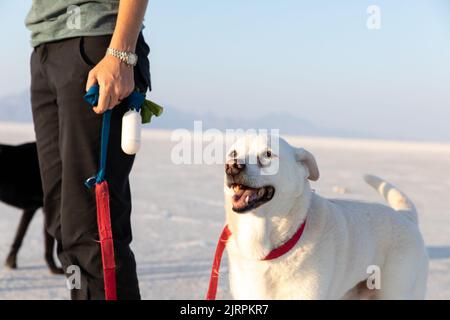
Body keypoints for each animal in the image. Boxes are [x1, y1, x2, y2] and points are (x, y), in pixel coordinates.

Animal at [0, 143, 63, 276]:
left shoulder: (30, 209)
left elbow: (19, 236)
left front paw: (11, 262)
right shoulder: (46, 209)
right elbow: (49, 244)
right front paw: (54, 269)